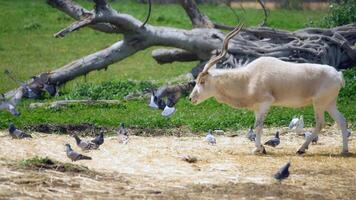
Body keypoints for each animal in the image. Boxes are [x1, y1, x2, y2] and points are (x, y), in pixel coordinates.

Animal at [189, 23, 350, 155]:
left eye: (202, 81)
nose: (191, 98)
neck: (248, 78)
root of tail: (338, 75)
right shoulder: (256, 108)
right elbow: (256, 125)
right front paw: (260, 147)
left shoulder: (265, 103)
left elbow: (258, 126)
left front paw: (258, 149)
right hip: (329, 104)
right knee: (341, 121)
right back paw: (344, 150)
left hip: (319, 104)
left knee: (320, 123)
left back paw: (301, 149)